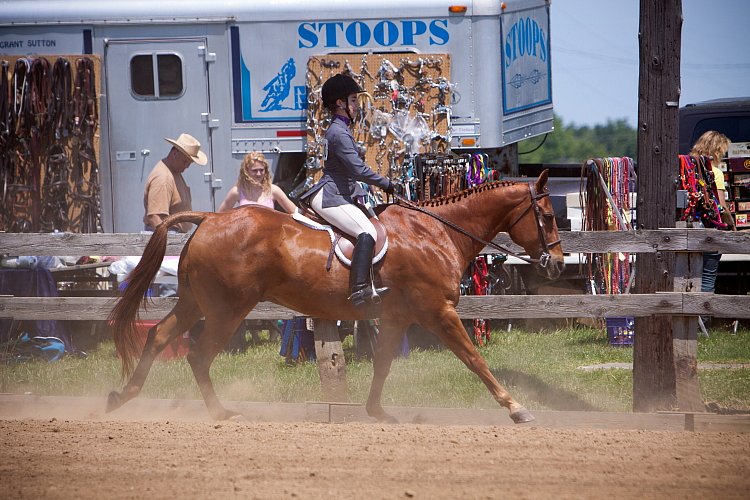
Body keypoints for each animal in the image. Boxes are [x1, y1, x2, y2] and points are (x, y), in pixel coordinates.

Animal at [107, 170, 564, 424]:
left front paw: (377, 412)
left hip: (195, 303)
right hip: (226, 310)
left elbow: (382, 364)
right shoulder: (439, 311)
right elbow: (475, 360)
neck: (436, 232)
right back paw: (220, 413)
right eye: (546, 216)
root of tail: (210, 218)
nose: (557, 264)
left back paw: (122, 397)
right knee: (198, 355)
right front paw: (516, 408)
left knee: (159, 336)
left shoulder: (397, 317)